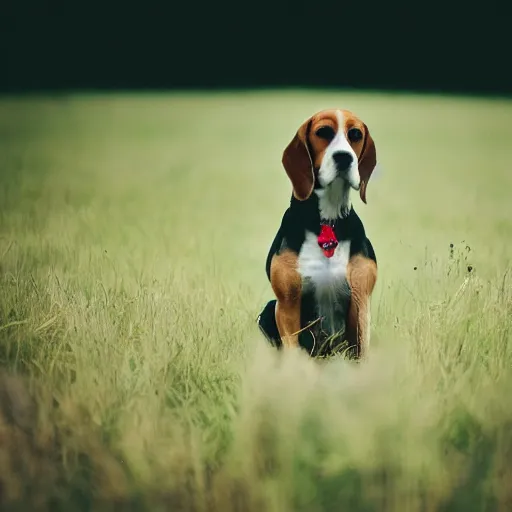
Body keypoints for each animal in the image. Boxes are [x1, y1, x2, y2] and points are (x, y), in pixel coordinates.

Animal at [258, 107, 378, 358]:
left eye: (355, 134)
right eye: (323, 132)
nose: (344, 157)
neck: (326, 221)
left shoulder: (360, 300)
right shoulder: (287, 304)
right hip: (268, 309)